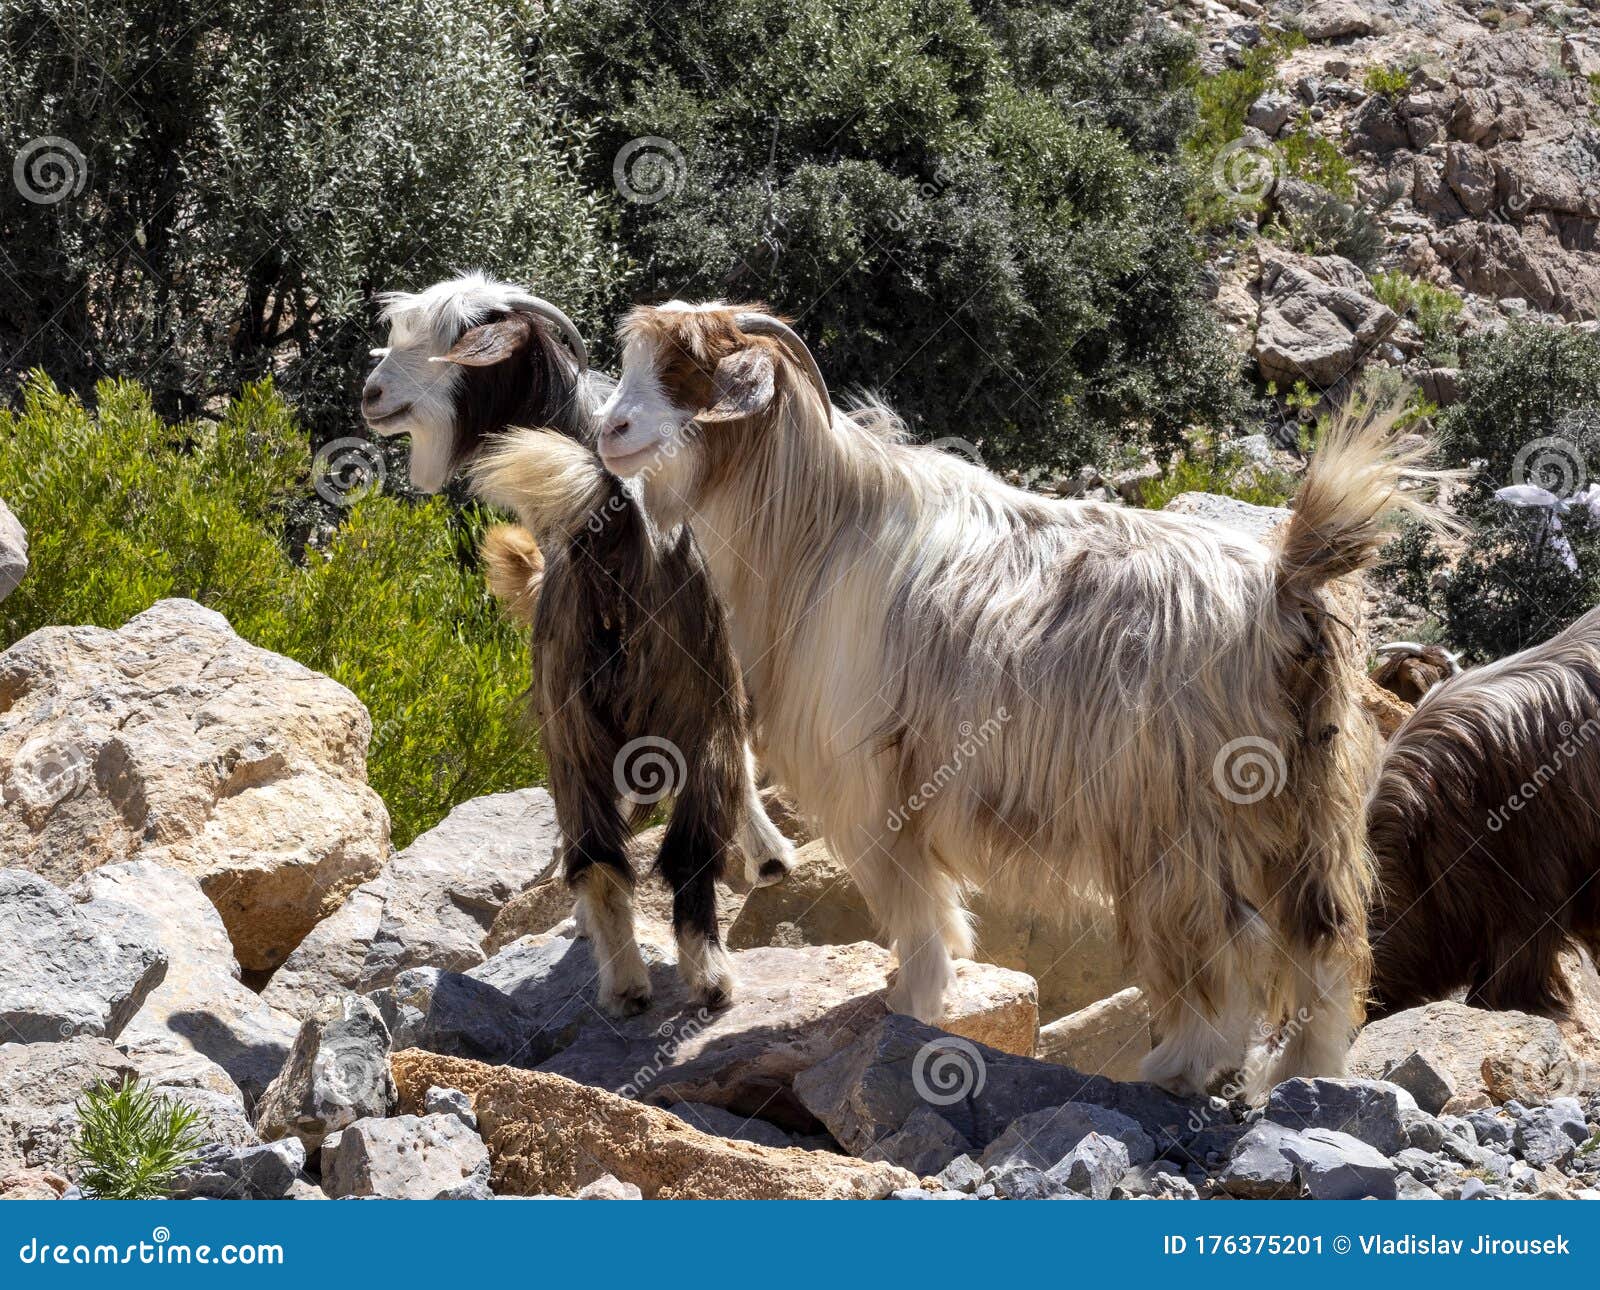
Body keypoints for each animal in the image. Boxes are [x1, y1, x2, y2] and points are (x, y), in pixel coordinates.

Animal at [363, 275, 793, 1014]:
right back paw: (692, 980)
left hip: (573, 710)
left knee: (605, 852)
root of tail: (613, 531)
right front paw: (770, 856)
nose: (372, 395)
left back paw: (633, 979)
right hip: (666, 697)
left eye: (452, 342)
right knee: (676, 849)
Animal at [477, 302, 1445, 1095]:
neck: (823, 529)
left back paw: (1183, 1063)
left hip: (1183, 821)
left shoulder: (872, 781)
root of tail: (1287, 584)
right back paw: (1302, 1075)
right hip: (1310, 810)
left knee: (1228, 945)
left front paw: (912, 1002)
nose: (613, 432)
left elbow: (910, 900)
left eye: (690, 368)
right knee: (1325, 941)